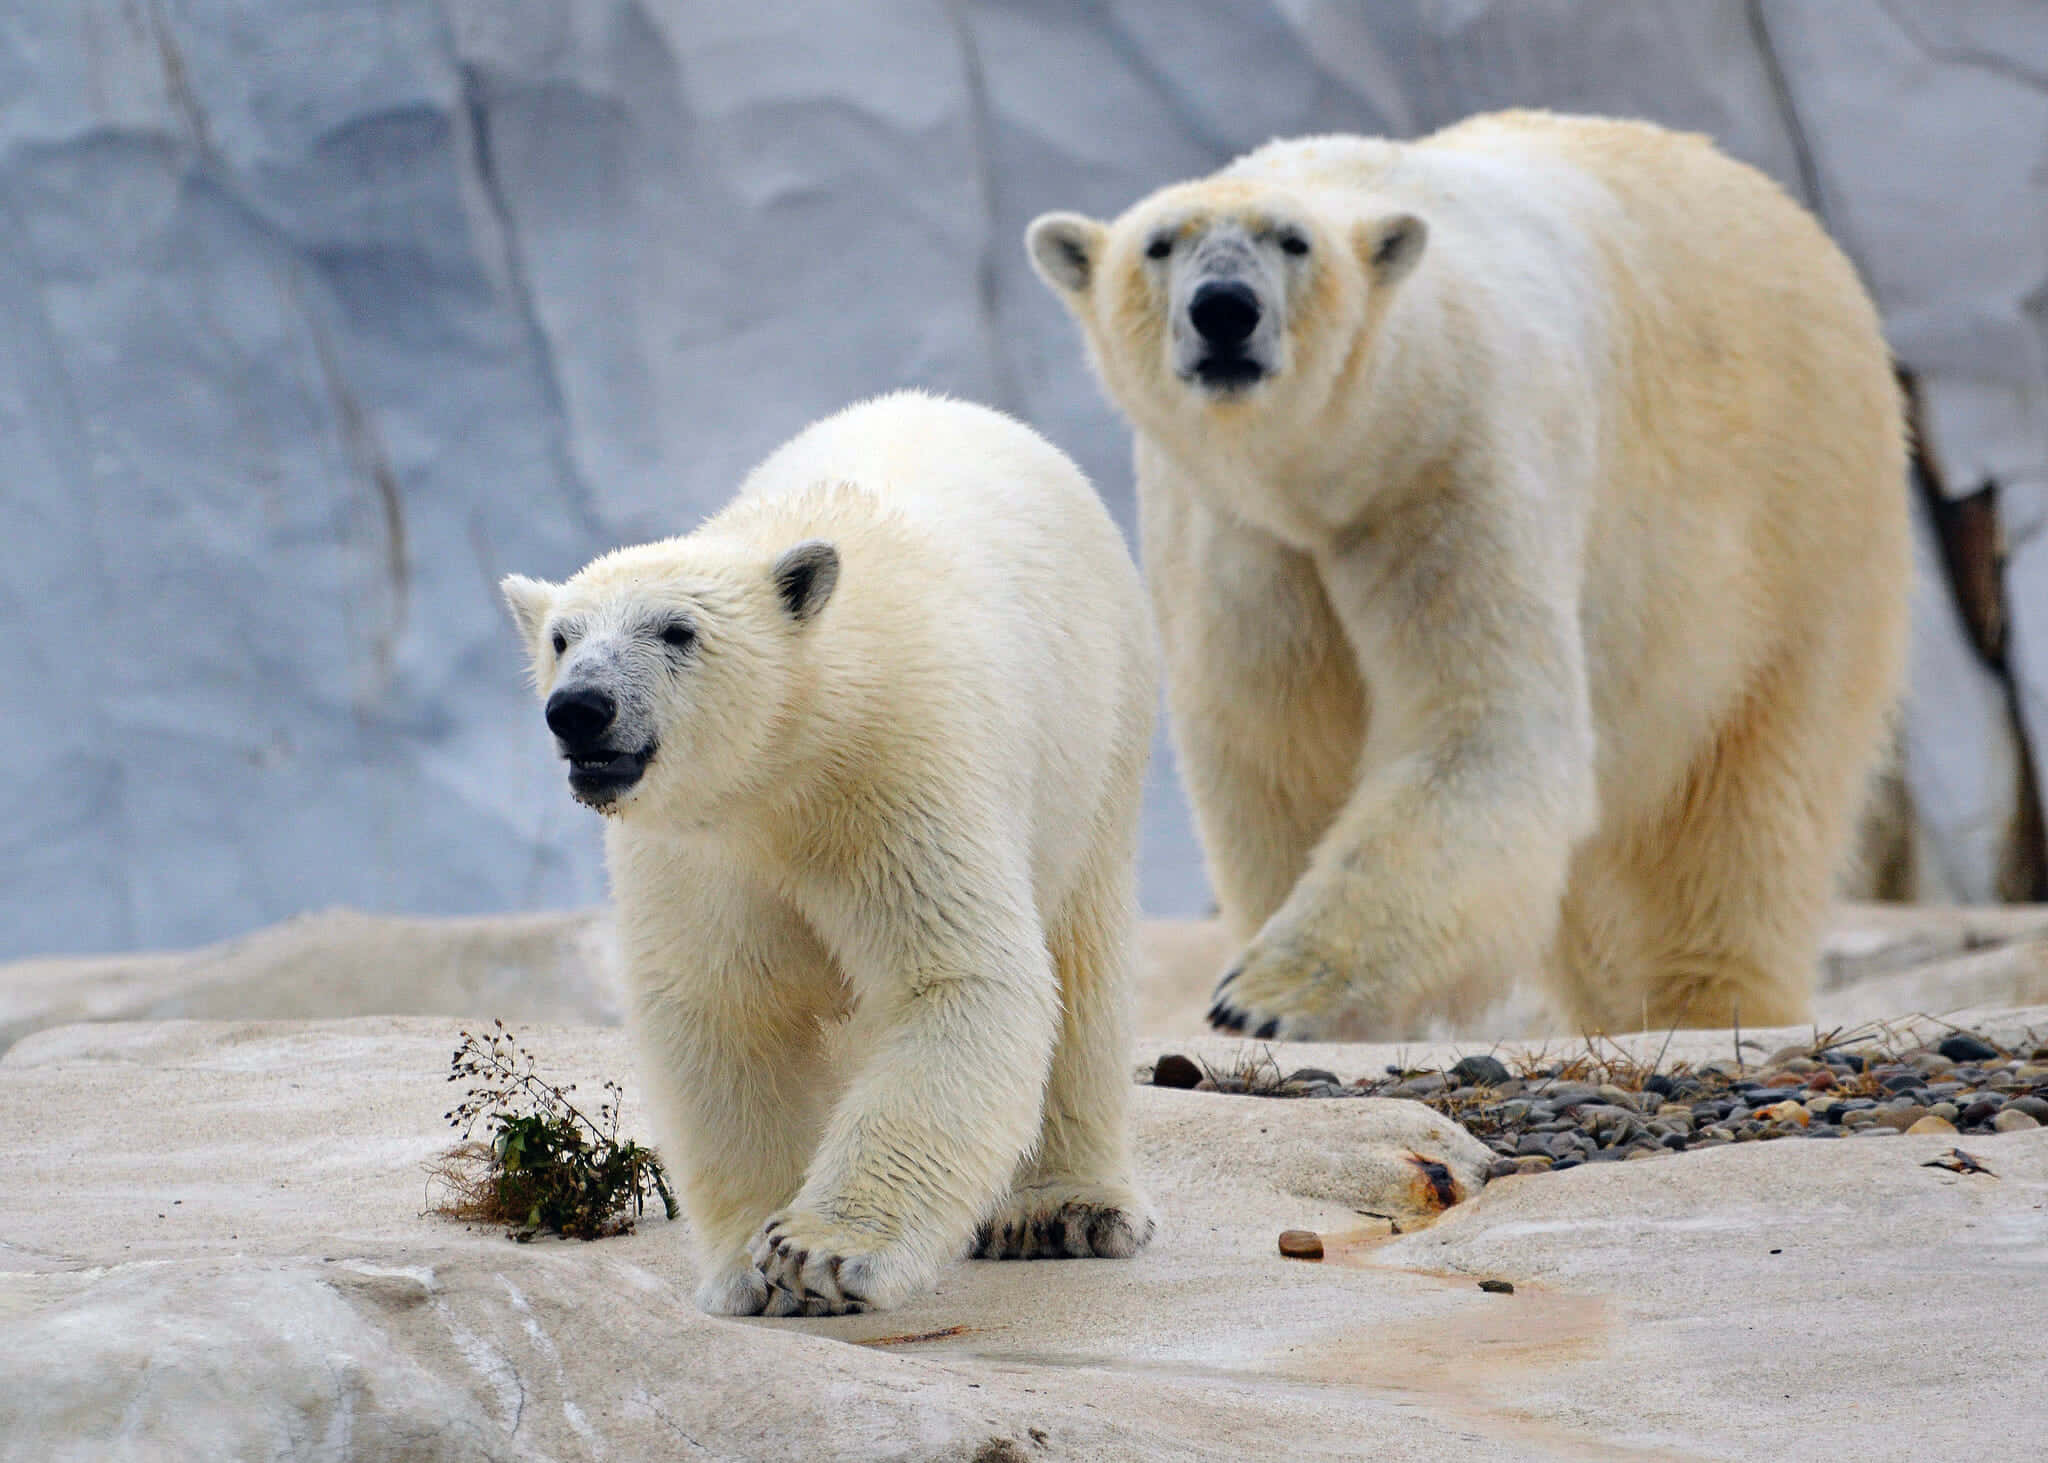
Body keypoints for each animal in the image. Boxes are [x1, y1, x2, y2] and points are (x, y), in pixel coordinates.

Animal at [500, 392, 1159, 1315]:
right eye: (561, 637)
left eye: (677, 630)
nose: (581, 709)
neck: (791, 760)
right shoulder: (697, 854)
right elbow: (725, 1013)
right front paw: (752, 1269)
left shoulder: (899, 780)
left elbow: (953, 979)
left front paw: (821, 1250)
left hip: (1099, 728)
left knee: (1082, 956)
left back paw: (1064, 1208)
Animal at [1026, 110, 1911, 1040]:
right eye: (1160, 243)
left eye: (1293, 242)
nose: (1225, 309)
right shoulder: (1240, 536)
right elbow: (1276, 746)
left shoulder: (1456, 463)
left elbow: (1481, 727)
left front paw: (1267, 995)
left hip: (1801, 519)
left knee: (1751, 801)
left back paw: (1706, 1001)